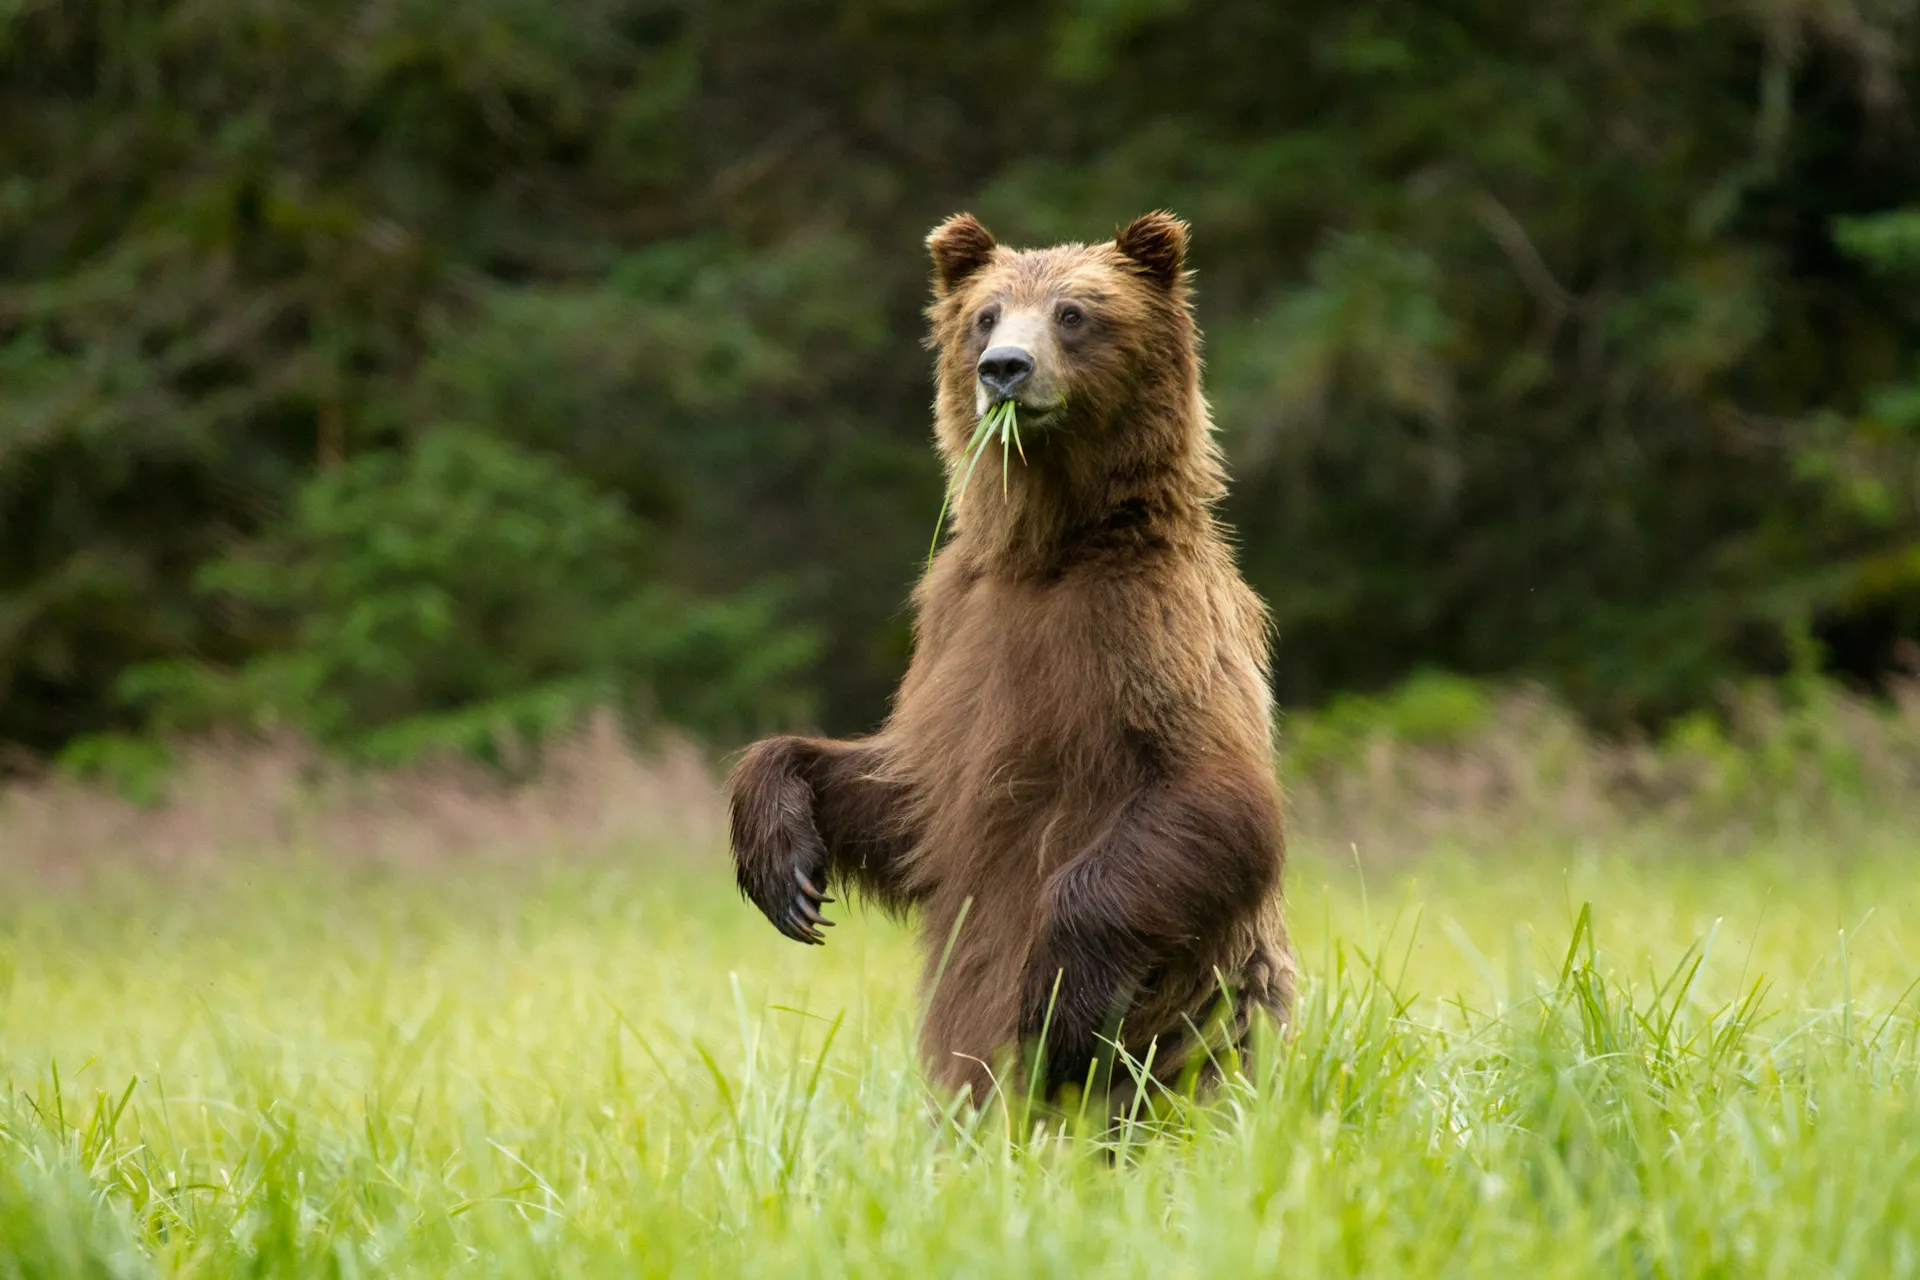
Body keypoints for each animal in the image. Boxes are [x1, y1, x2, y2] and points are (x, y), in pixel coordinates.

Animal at [728, 211, 1294, 1107]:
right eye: (986, 315)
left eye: (1075, 312)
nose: (1004, 369)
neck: (1051, 547)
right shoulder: (955, 634)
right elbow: (904, 795)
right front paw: (784, 867)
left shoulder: (1151, 625)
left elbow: (1215, 795)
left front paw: (1060, 1001)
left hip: (1199, 1031)